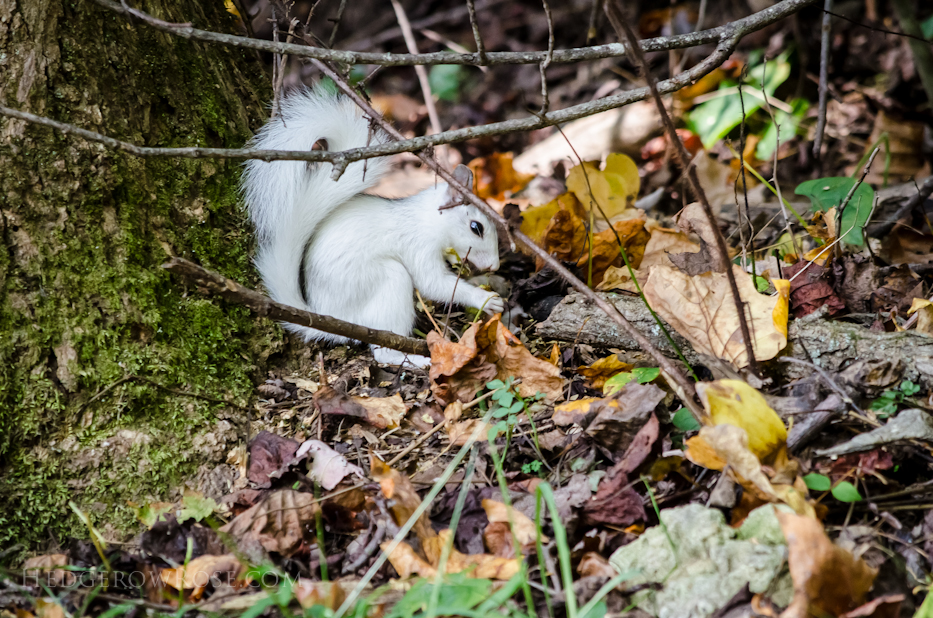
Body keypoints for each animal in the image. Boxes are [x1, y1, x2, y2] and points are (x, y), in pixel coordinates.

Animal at [240, 87, 502, 366]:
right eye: (476, 227)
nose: (495, 265)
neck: (428, 218)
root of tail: (329, 318)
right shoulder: (418, 245)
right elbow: (434, 283)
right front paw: (485, 299)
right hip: (389, 282)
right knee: (384, 352)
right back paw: (419, 360)